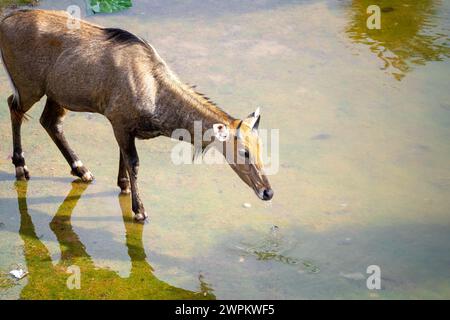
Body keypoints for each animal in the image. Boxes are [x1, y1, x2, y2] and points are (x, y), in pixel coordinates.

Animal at [0, 9, 274, 220]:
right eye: (244, 152)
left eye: (261, 148)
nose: (267, 192)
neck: (154, 91)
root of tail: (5, 21)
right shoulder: (118, 120)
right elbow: (133, 162)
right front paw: (139, 210)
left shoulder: (126, 127)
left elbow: (124, 158)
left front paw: (124, 187)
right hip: (30, 87)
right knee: (14, 107)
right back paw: (21, 167)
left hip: (58, 94)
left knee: (50, 121)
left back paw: (82, 170)